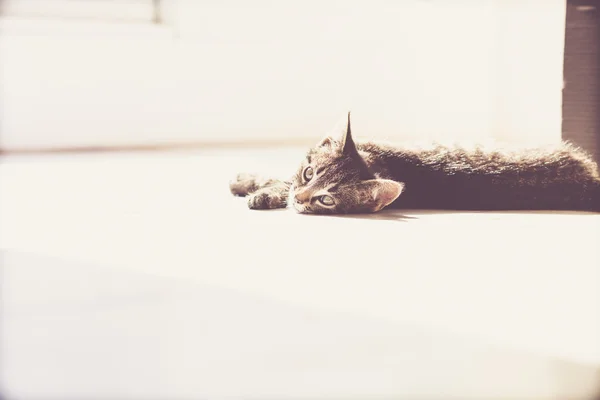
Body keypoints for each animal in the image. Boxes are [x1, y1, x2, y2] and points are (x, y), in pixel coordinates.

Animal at [229, 112, 600, 214]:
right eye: (309, 172)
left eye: (327, 200)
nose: (301, 198)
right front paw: (251, 182)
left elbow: (278, 181)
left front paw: (258, 188)